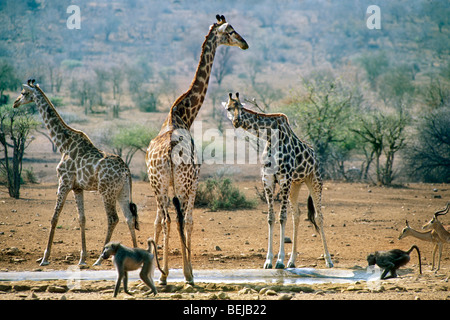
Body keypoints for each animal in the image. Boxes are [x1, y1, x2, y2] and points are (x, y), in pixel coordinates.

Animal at [12, 79, 139, 266]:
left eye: (23, 93)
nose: (15, 103)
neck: (62, 144)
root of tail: (126, 170)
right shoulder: (78, 188)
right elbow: (82, 218)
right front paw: (82, 258)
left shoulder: (63, 182)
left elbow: (54, 217)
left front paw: (45, 258)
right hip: (122, 191)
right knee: (129, 218)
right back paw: (137, 254)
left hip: (107, 192)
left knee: (113, 218)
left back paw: (100, 259)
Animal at [146, 15, 248, 284]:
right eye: (230, 31)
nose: (244, 43)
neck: (182, 115)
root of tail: (168, 153)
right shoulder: (195, 182)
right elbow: (189, 221)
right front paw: (188, 271)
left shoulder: (160, 185)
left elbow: (160, 220)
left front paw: (163, 271)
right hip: (183, 183)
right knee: (178, 220)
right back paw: (181, 273)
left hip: (159, 183)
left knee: (165, 219)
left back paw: (162, 274)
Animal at [222, 93, 334, 270]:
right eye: (228, 108)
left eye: (240, 106)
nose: (237, 121)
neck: (270, 136)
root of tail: (315, 155)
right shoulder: (267, 179)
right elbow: (270, 217)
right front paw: (268, 261)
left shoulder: (284, 179)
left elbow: (282, 217)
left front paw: (279, 260)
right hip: (295, 184)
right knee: (297, 215)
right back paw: (292, 261)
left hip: (314, 180)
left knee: (318, 216)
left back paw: (328, 260)